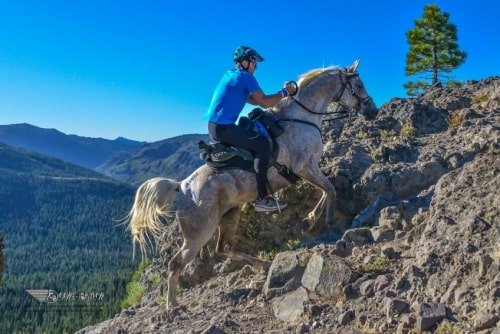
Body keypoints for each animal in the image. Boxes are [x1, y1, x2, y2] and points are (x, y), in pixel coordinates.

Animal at [127, 60, 376, 308]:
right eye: (359, 85)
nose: (372, 111)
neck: (301, 117)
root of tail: (183, 187)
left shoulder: (308, 169)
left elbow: (325, 191)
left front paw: (308, 221)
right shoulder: (305, 167)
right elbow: (329, 189)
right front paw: (323, 221)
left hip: (230, 214)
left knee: (223, 248)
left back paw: (262, 265)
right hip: (199, 233)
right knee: (176, 263)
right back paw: (173, 305)